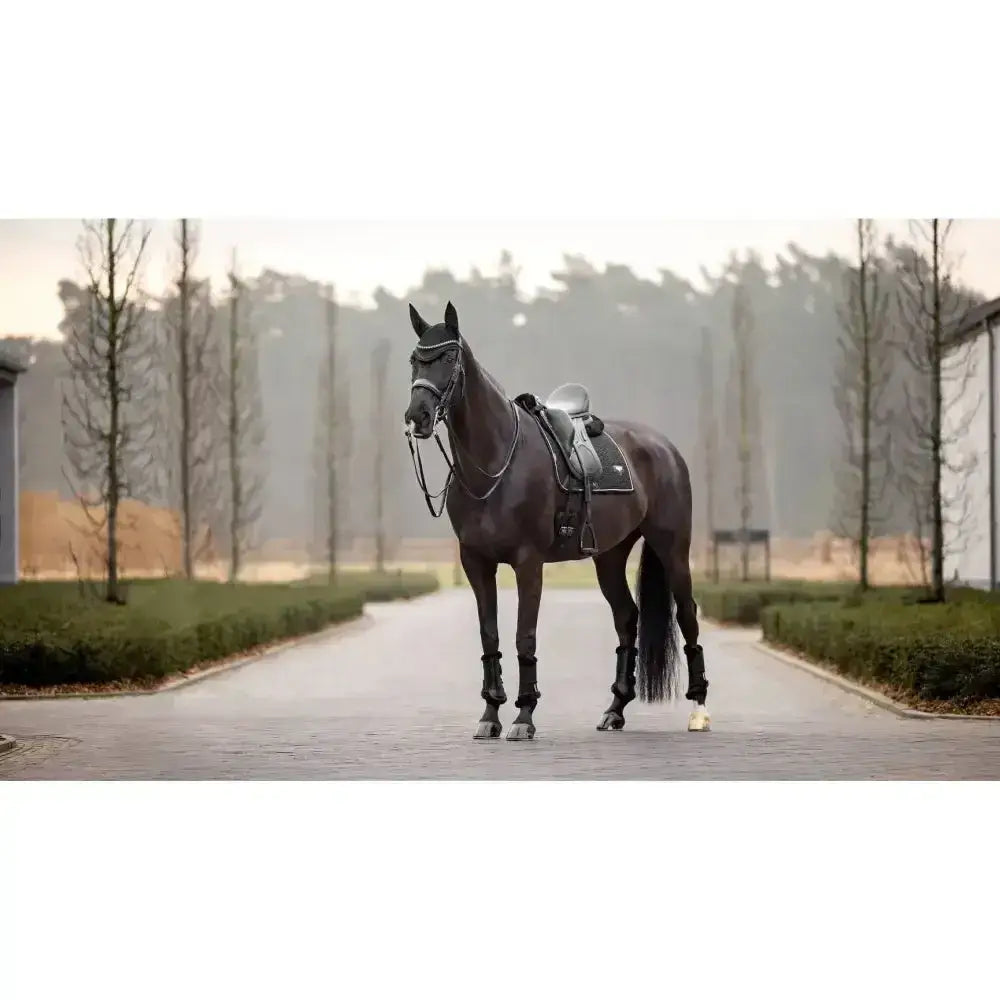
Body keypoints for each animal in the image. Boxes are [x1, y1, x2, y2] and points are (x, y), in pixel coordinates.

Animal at [403, 301, 710, 741]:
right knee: (626, 618)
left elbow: (524, 636)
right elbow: (490, 636)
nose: (418, 416)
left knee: (687, 615)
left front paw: (523, 716)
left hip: (672, 547)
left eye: (448, 357)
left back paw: (699, 710)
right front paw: (490, 715)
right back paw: (614, 710)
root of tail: (663, 446)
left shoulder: (528, 562)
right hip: (609, 556)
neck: (496, 464)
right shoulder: (476, 562)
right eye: (415, 359)